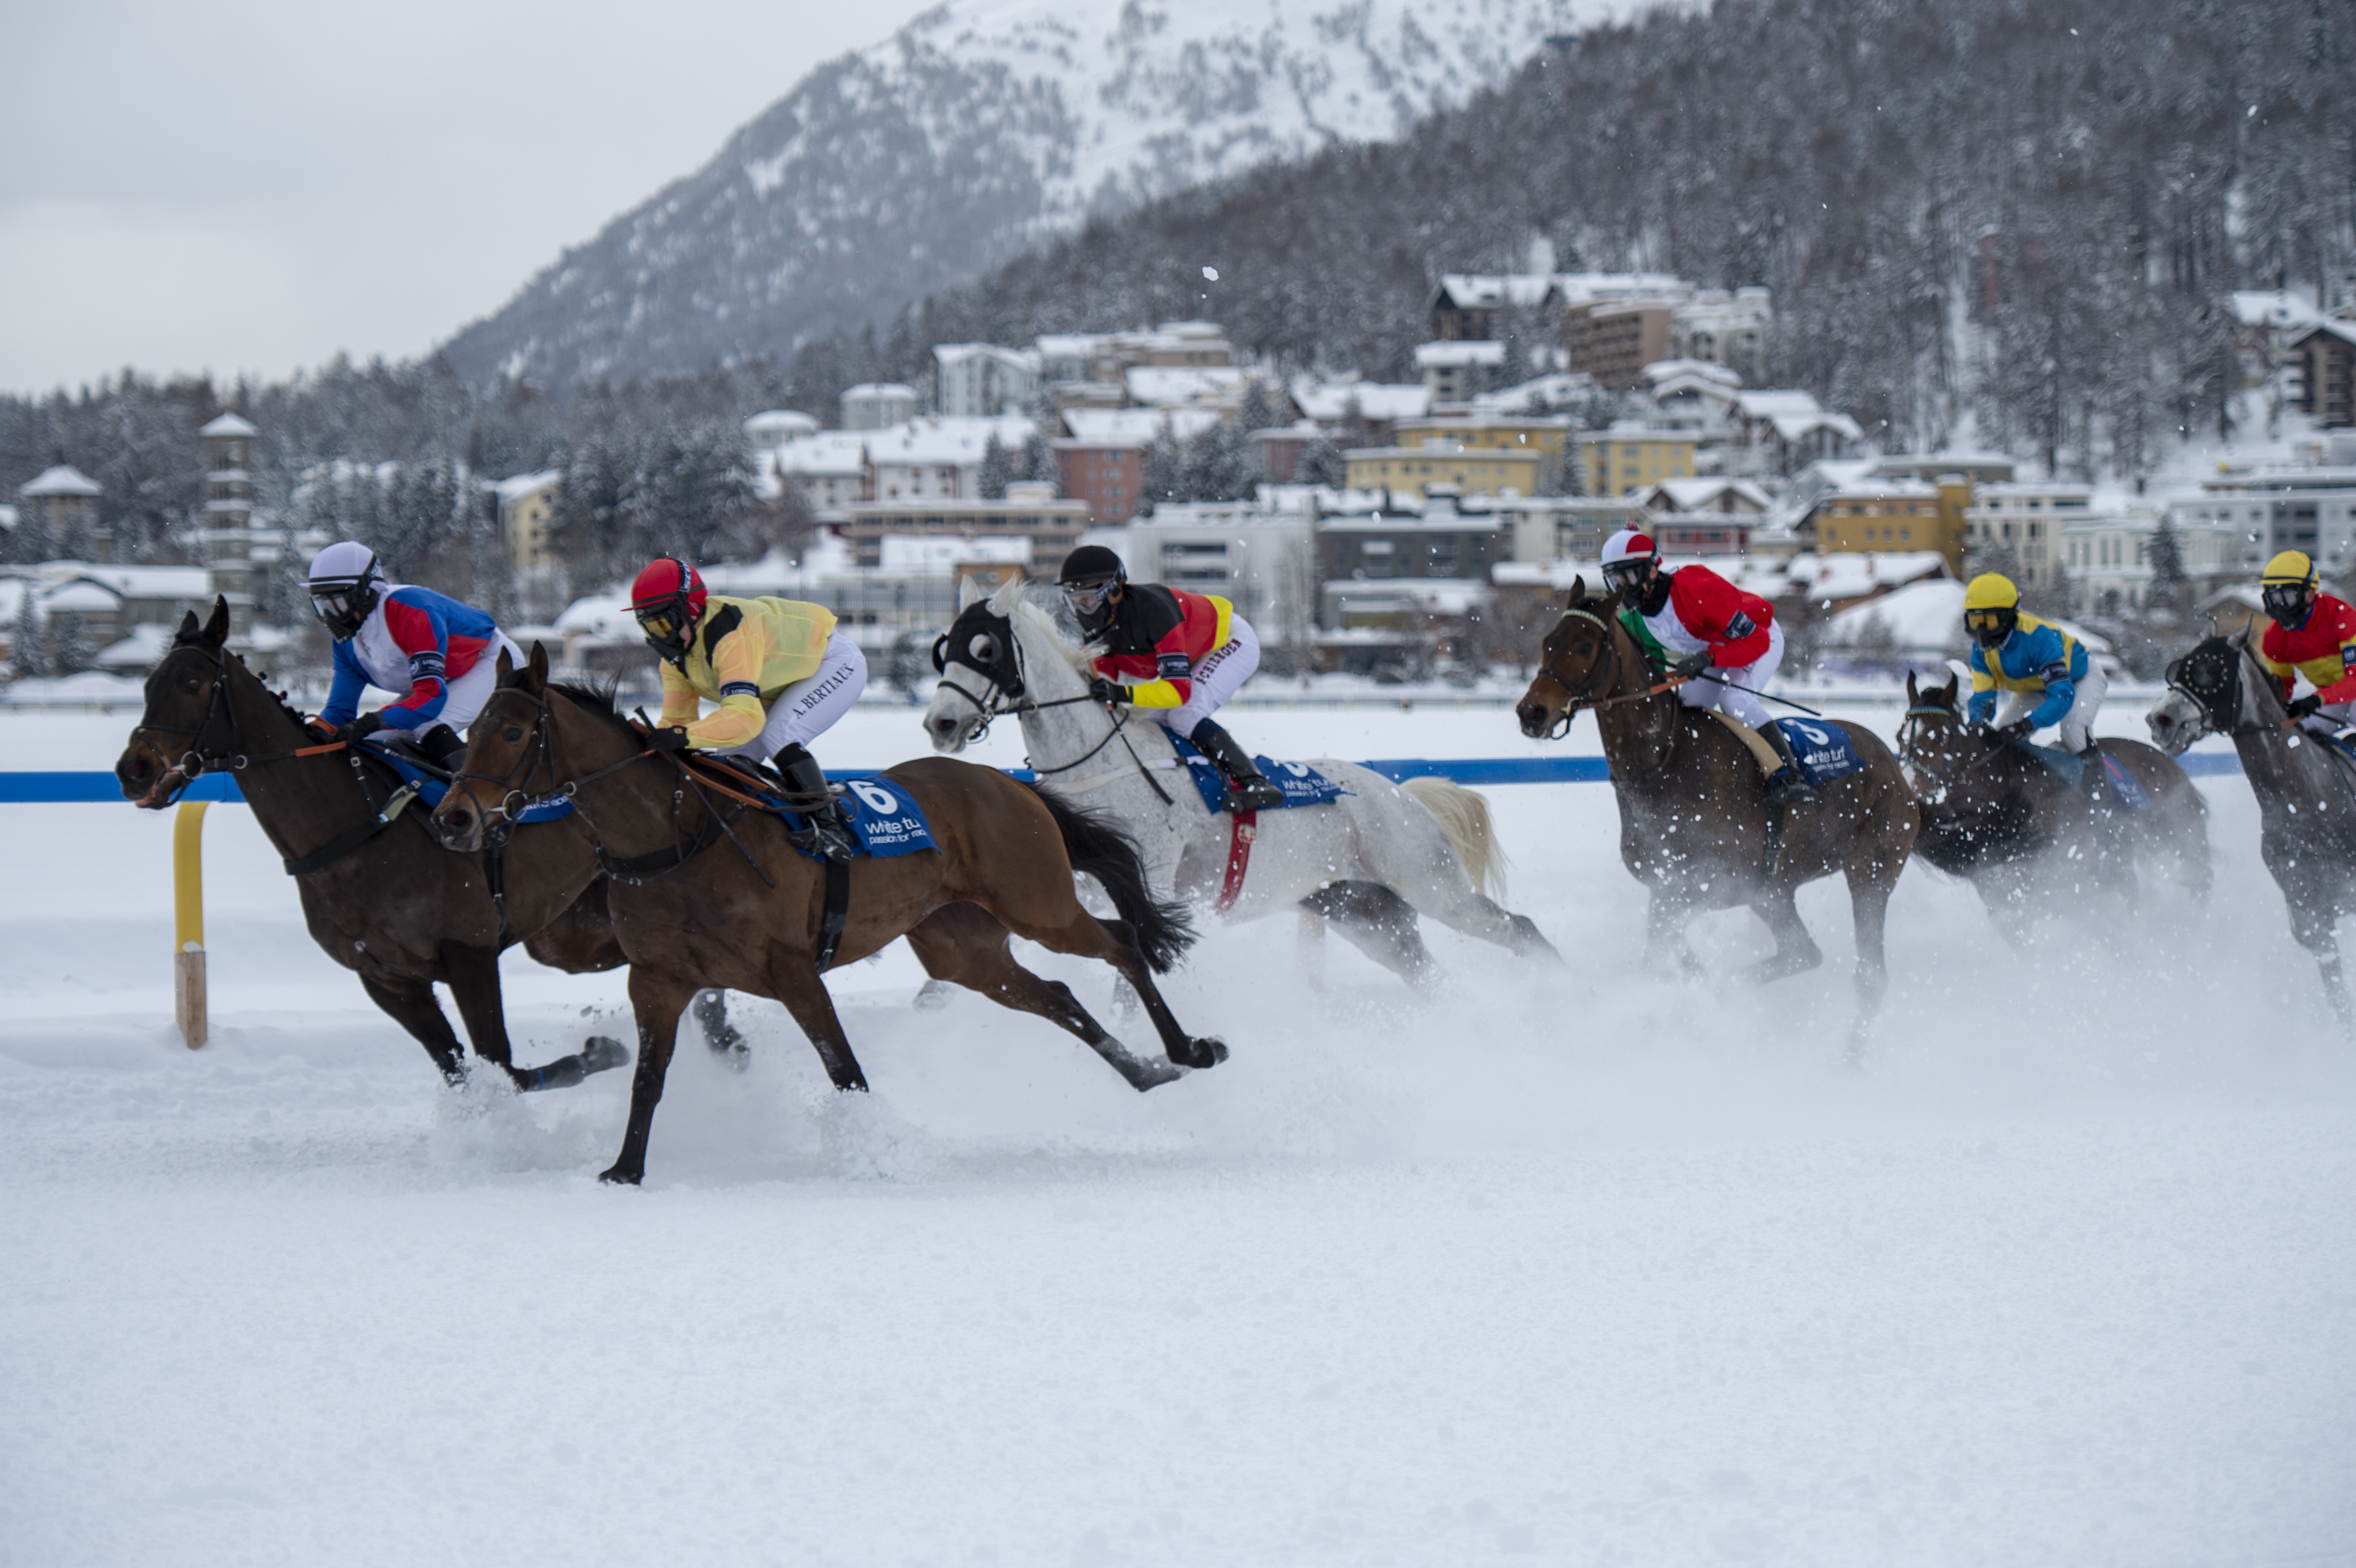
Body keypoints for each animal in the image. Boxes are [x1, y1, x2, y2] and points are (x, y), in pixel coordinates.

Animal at [111, 598, 636, 1088]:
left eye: (192, 683)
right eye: (148, 686)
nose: (133, 770)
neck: (353, 835)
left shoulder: (471, 952)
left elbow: (503, 1067)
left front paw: (600, 1051)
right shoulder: (386, 979)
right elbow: (460, 1071)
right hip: (568, 936)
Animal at [431, 640, 1225, 1177]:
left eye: (512, 732)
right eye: (469, 731)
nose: (454, 819)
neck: (676, 839)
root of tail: (1009, 784)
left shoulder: (792, 972)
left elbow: (844, 1069)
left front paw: (874, 1152)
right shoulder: (657, 979)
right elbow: (648, 1078)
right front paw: (624, 1170)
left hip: (1040, 905)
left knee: (1120, 943)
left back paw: (1189, 1049)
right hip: (962, 948)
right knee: (1057, 995)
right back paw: (1146, 1072)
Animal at [923, 574, 1564, 989]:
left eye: (985, 648)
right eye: (944, 650)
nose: (941, 723)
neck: (1094, 763)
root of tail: (1400, 795)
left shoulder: (1148, 878)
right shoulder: (1073, 884)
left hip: (1431, 884)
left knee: (1519, 929)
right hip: (1361, 910)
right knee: (1428, 974)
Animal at [1517, 577, 1922, 1050]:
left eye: (1584, 645)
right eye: (1547, 642)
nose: (1531, 712)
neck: (1667, 759)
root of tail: (1893, 764)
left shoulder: (1717, 883)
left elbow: (1664, 956)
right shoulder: (1668, 885)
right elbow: (1666, 953)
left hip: (1869, 872)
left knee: (1863, 973)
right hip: (1779, 890)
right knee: (1804, 954)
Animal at [1894, 664, 2205, 941]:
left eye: (1940, 737)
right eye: (1900, 737)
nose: (1910, 791)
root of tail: (2166, 761)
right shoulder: (2011, 906)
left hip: (2181, 837)